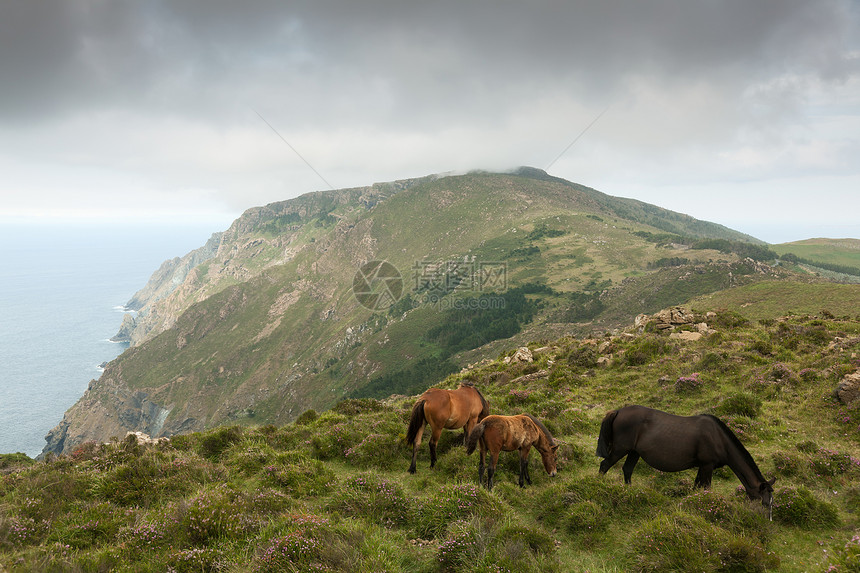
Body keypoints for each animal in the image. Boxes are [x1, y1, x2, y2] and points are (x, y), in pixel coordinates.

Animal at [596, 402, 776, 520]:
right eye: (765, 503)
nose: (767, 521)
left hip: (634, 452)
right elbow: (705, 488)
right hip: (621, 449)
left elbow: (696, 488)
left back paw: (630, 493)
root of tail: (618, 411)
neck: (718, 438)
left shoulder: (702, 466)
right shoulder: (707, 465)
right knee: (604, 465)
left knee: (627, 470)